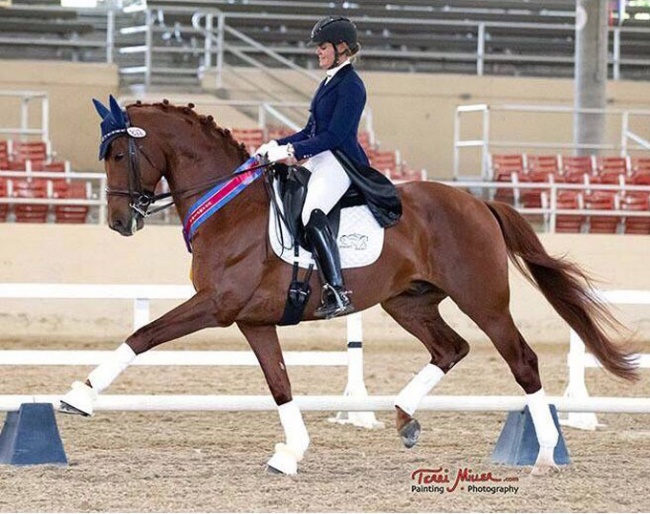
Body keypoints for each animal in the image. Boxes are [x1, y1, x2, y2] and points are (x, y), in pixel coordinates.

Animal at [59, 100, 632, 476]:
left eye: (117, 156)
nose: (118, 222)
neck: (228, 206)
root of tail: (478, 202)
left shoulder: (217, 306)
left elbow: (145, 335)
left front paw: (78, 396)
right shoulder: (253, 319)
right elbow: (280, 383)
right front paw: (290, 453)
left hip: (483, 300)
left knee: (522, 361)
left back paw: (545, 454)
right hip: (408, 302)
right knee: (451, 348)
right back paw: (404, 418)